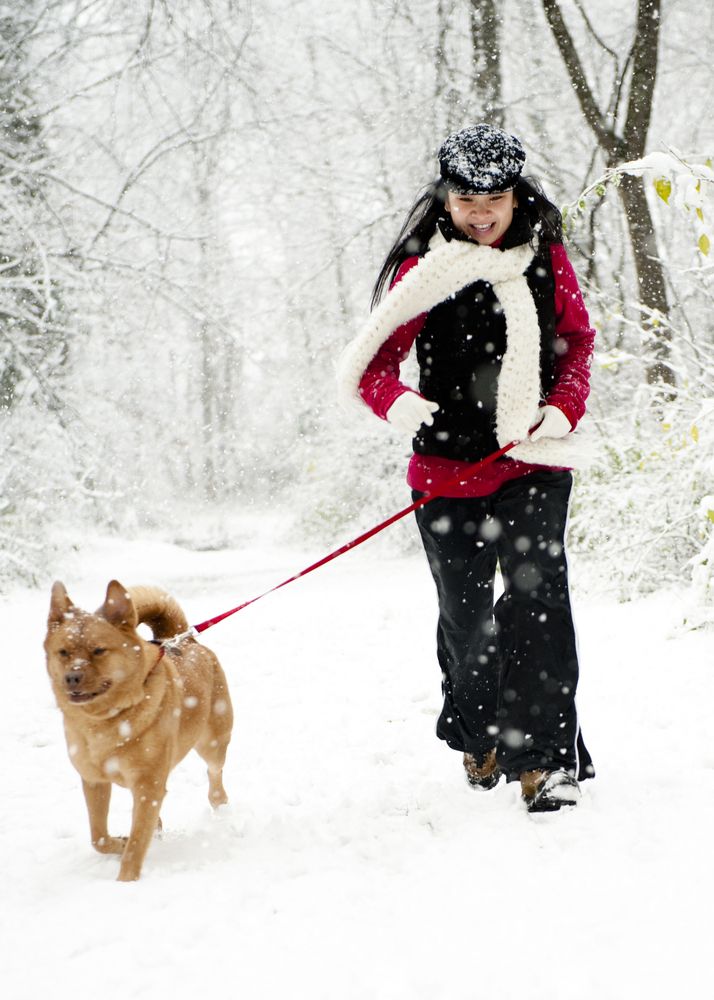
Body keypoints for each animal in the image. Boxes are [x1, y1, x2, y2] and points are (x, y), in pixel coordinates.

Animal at [43, 584, 232, 880]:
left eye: (99, 650)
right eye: (63, 652)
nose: (71, 678)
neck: (108, 719)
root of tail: (186, 641)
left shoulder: (148, 786)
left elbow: (135, 846)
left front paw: (125, 882)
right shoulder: (94, 781)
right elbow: (99, 837)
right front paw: (120, 843)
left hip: (213, 742)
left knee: (215, 774)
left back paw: (220, 807)